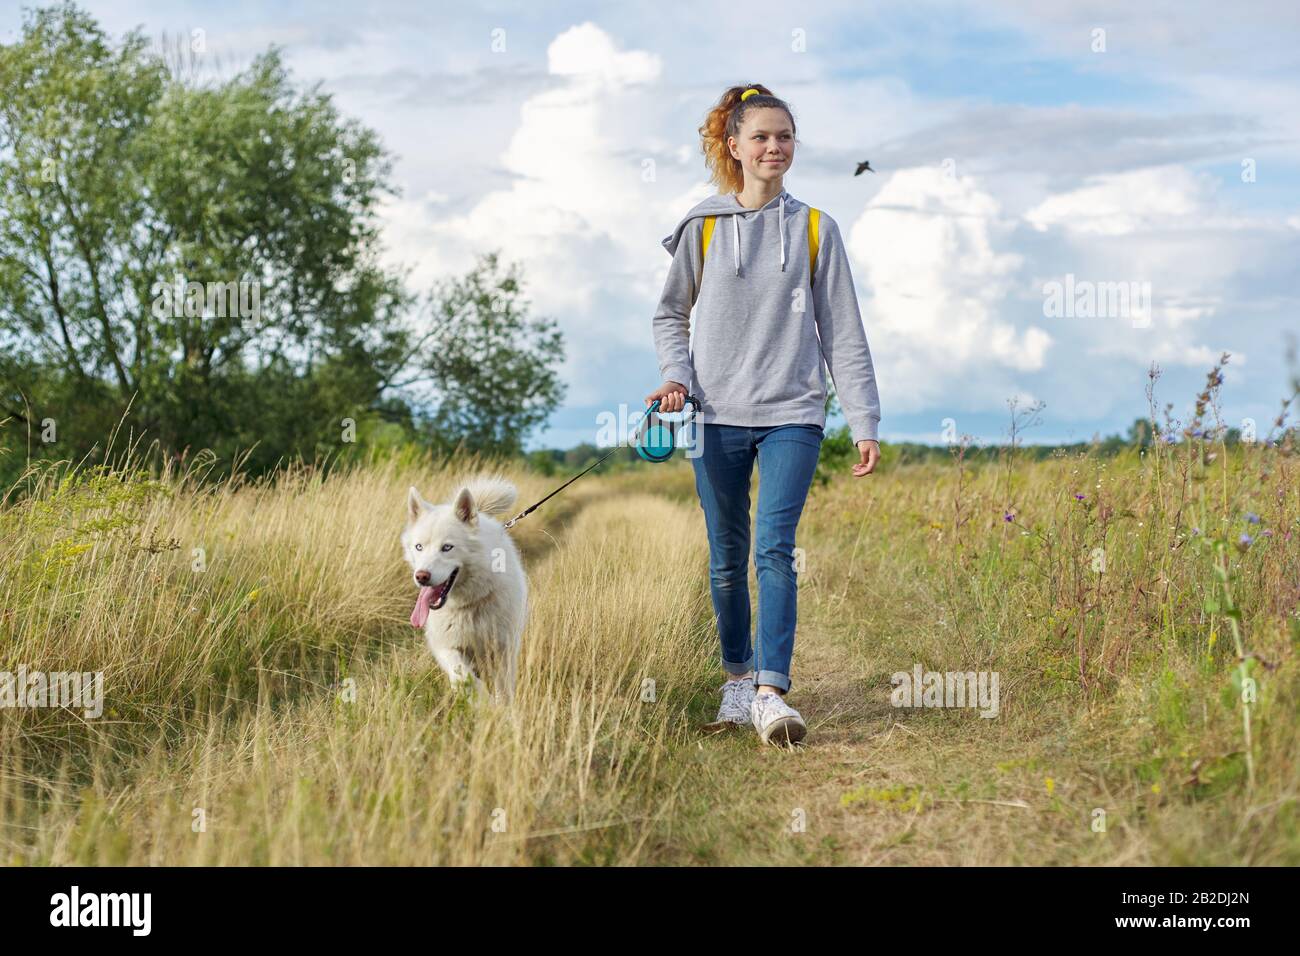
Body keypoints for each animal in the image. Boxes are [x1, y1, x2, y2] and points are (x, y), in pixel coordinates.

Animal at [403, 478, 530, 702]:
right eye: (419, 547)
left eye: (447, 547)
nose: (421, 576)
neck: (469, 603)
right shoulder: (446, 646)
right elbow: (465, 677)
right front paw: (483, 702)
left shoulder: (503, 648)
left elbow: (503, 687)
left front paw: (501, 707)